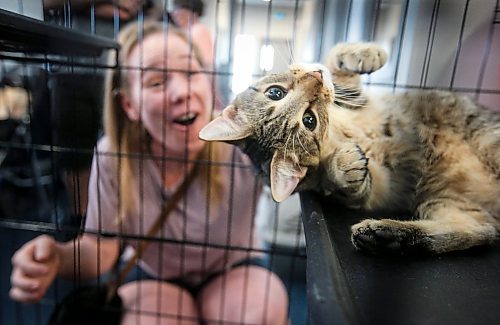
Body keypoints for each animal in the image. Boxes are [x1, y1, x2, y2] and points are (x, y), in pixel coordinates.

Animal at [200, 43, 500, 254]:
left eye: (275, 92)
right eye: (310, 120)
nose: (315, 77)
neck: (337, 131)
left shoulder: (355, 99)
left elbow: (337, 61)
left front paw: (363, 54)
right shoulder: (382, 188)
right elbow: (357, 189)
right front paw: (343, 167)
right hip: (445, 199)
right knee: (479, 231)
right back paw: (387, 236)